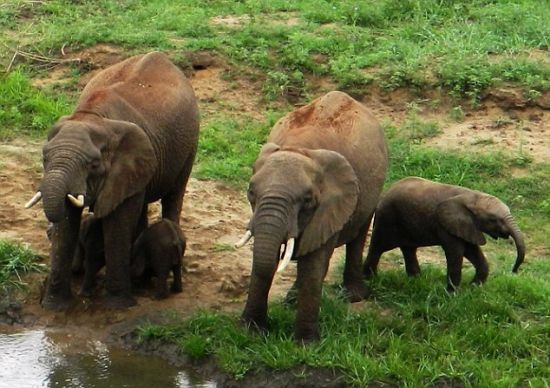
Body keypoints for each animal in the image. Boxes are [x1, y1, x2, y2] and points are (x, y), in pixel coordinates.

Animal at [25, 51, 202, 310]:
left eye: (93, 165)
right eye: (44, 158)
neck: (94, 117)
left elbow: (117, 221)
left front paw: (117, 305)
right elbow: (68, 220)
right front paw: (54, 306)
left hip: (189, 142)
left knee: (173, 195)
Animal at [236, 91, 388, 342]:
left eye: (308, 200)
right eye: (251, 193)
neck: (299, 149)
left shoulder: (331, 205)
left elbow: (314, 265)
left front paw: (306, 344)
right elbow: (266, 258)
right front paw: (251, 332)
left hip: (373, 187)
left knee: (358, 234)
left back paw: (353, 296)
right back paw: (291, 300)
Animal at [364, 177, 528, 290]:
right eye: (493, 219)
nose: (514, 271)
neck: (473, 196)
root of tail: (386, 192)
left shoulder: (466, 226)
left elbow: (472, 250)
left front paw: (473, 288)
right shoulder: (445, 225)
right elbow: (455, 253)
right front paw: (453, 294)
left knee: (408, 249)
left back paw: (416, 280)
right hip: (386, 218)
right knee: (377, 247)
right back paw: (370, 279)